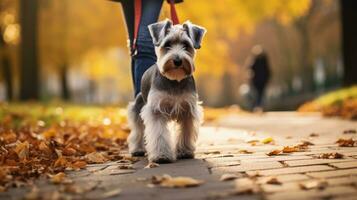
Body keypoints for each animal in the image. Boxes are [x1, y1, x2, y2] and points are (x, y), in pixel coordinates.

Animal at [126, 18, 206, 163]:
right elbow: (159, 135)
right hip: (137, 109)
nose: (177, 60)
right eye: (167, 44)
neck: (174, 80)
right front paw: (161, 155)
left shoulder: (188, 109)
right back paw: (138, 149)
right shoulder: (156, 110)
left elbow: (186, 131)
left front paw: (185, 151)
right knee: (138, 131)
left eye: (186, 45)